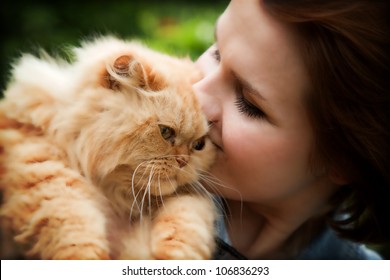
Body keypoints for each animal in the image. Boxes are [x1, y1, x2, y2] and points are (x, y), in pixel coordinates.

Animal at [0, 36, 216, 260]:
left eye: (199, 145)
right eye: (165, 132)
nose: (183, 161)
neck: (117, 195)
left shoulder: (190, 196)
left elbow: (186, 223)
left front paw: (170, 255)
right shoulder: (47, 176)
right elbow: (77, 234)